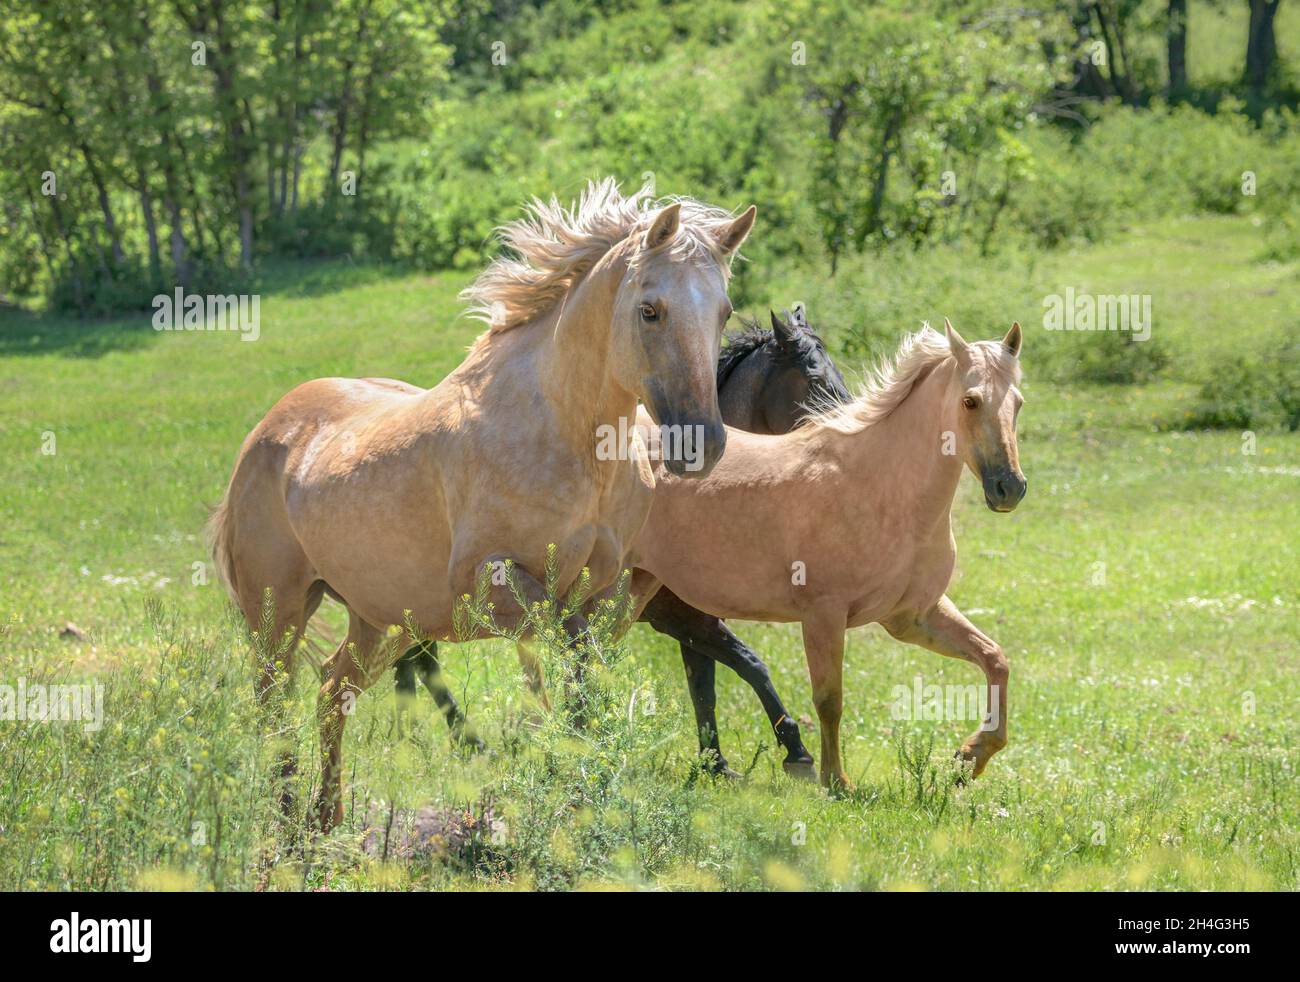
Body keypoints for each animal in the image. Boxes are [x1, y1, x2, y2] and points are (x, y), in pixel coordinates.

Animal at [208, 178, 759, 827]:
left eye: (724, 312)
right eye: (650, 309)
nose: (701, 445)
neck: (568, 435)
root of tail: (267, 431)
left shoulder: (607, 592)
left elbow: (584, 676)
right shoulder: (489, 584)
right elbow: (569, 656)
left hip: (383, 620)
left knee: (329, 691)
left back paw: (327, 820)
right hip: (279, 614)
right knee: (271, 708)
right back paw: (289, 822)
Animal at [629, 322, 1024, 790]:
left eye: (1018, 402)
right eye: (970, 400)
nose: (1009, 487)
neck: (881, 488)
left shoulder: (913, 617)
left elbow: (995, 658)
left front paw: (969, 758)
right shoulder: (821, 615)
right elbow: (826, 698)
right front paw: (832, 779)